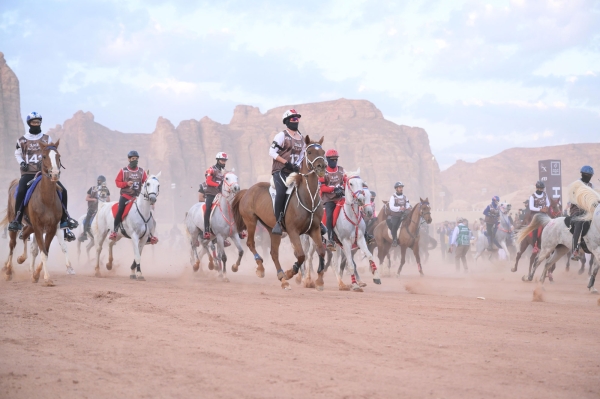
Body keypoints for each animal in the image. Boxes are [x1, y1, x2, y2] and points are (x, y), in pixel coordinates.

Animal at [1, 141, 63, 284]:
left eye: (58, 156)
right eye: (44, 156)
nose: (55, 174)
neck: (46, 199)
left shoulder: (51, 228)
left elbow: (45, 250)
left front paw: (36, 274)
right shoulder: (39, 227)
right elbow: (43, 251)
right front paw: (47, 278)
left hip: (30, 225)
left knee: (24, 235)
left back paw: (21, 259)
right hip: (15, 221)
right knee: (12, 244)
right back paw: (8, 271)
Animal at [231, 136, 326, 290]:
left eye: (323, 152)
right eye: (310, 152)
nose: (321, 166)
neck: (308, 197)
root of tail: (247, 191)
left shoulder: (315, 229)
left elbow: (321, 251)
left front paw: (319, 281)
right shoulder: (293, 231)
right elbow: (300, 255)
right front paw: (290, 272)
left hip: (273, 229)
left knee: (274, 253)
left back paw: (282, 278)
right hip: (250, 221)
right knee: (251, 243)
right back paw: (261, 268)